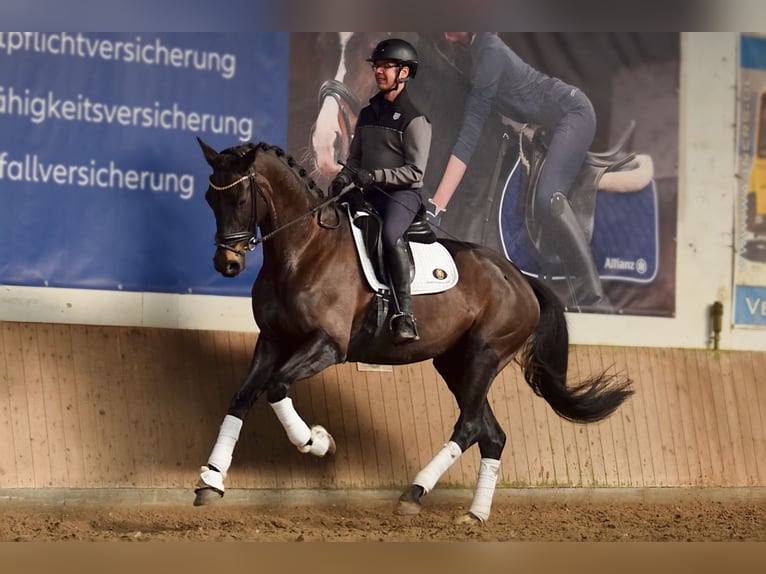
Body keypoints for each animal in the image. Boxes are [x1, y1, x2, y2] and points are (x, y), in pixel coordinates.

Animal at [192, 137, 634, 523]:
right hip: (455, 365)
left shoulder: (328, 345)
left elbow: (277, 387)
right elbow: (242, 397)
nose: (226, 264)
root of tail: (520, 278)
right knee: (491, 434)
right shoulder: (271, 341)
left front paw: (317, 441)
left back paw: (414, 492)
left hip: (484, 356)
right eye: (210, 199)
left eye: (241, 199)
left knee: (469, 426)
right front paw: (211, 481)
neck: (304, 248)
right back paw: (475, 514)